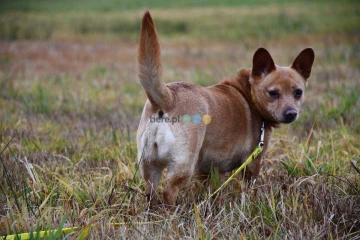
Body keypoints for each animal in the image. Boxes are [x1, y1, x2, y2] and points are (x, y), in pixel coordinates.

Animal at [136, 10, 314, 206]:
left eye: (298, 92)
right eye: (273, 93)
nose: (291, 114)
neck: (248, 94)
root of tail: (167, 97)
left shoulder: (207, 169)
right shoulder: (252, 163)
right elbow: (250, 187)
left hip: (149, 167)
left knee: (150, 192)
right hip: (183, 165)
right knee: (169, 191)